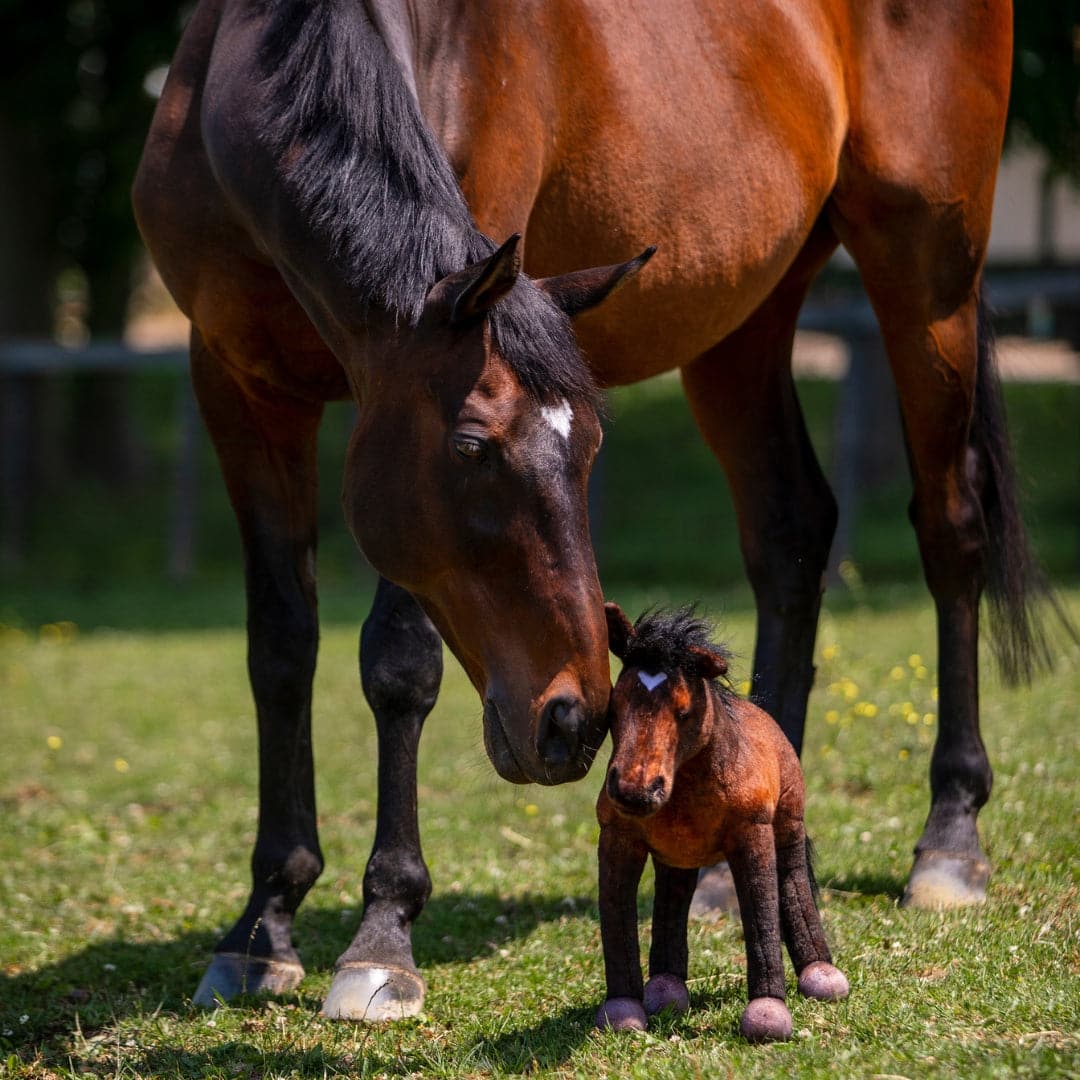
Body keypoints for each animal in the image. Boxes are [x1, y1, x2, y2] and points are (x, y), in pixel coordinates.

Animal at [596, 604, 846, 1041]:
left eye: (683, 712)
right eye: (615, 707)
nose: (634, 792)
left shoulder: (752, 833)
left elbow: (761, 913)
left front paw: (768, 1014)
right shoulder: (617, 836)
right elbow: (616, 916)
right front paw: (622, 1012)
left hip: (788, 823)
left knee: (793, 880)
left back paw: (821, 974)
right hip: (677, 857)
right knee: (673, 897)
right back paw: (666, 989)